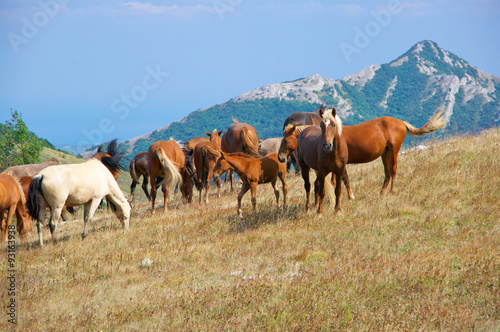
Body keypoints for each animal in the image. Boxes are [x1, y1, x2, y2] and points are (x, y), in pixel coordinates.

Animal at [280, 106, 448, 195]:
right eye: (321, 125)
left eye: (286, 140)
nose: (281, 158)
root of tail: (400, 122)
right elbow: (337, 180)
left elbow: (341, 180)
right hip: (385, 153)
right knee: (387, 173)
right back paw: (382, 193)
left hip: (393, 152)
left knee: (393, 171)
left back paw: (391, 191)